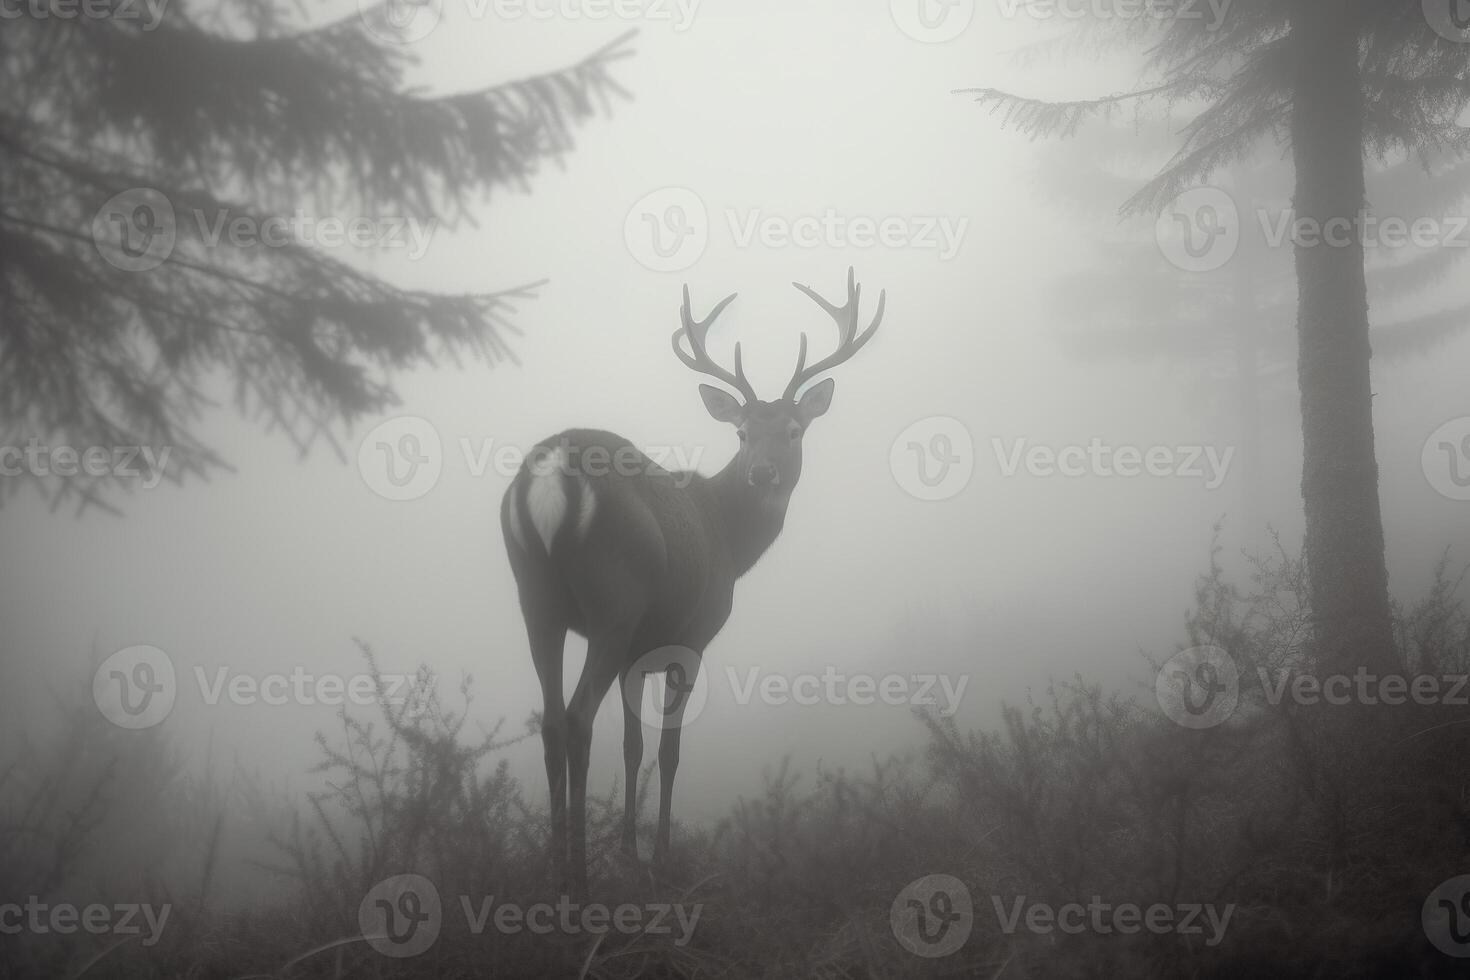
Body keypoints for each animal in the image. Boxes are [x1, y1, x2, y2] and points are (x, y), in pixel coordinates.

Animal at [499, 268, 876, 899]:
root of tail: (550, 472)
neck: (730, 540)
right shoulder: (691, 638)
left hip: (536, 599)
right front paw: (661, 858)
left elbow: (633, 747)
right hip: (614, 597)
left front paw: (628, 854)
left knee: (551, 721)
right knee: (577, 718)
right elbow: (669, 750)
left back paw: (552, 870)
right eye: (743, 433)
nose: (763, 473)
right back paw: (578, 877)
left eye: (793, 430)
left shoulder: (635, 655)